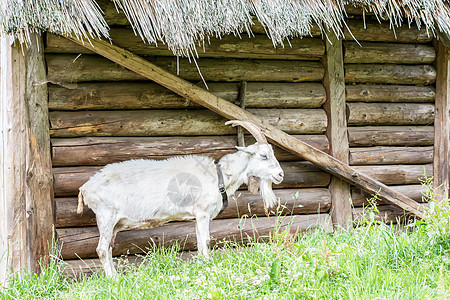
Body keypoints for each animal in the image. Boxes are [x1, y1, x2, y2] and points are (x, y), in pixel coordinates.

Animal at [76, 120, 282, 276]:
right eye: (263, 155)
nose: (280, 175)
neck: (219, 176)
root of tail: (86, 187)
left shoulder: (197, 216)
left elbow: (199, 242)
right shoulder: (202, 212)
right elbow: (206, 241)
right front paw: (208, 267)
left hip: (114, 222)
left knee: (109, 248)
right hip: (105, 215)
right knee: (102, 249)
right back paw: (113, 279)